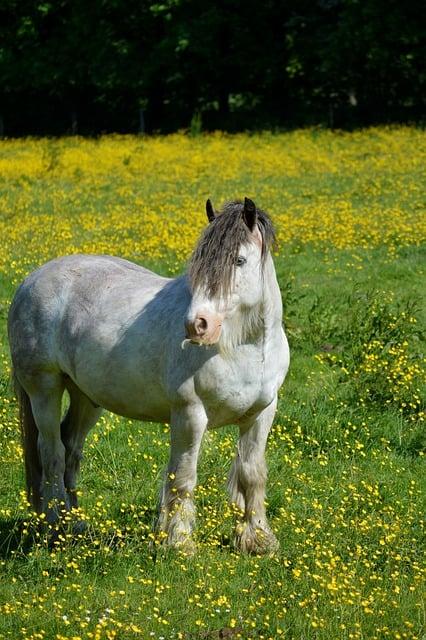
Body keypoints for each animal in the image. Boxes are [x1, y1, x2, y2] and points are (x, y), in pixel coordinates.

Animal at [9, 198, 290, 552]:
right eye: (198, 264)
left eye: (239, 260)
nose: (197, 325)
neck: (244, 347)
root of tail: (30, 280)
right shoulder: (190, 414)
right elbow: (183, 477)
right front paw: (180, 543)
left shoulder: (261, 413)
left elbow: (252, 473)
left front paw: (259, 540)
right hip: (44, 389)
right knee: (52, 453)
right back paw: (56, 525)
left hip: (86, 397)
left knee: (70, 447)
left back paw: (76, 526)